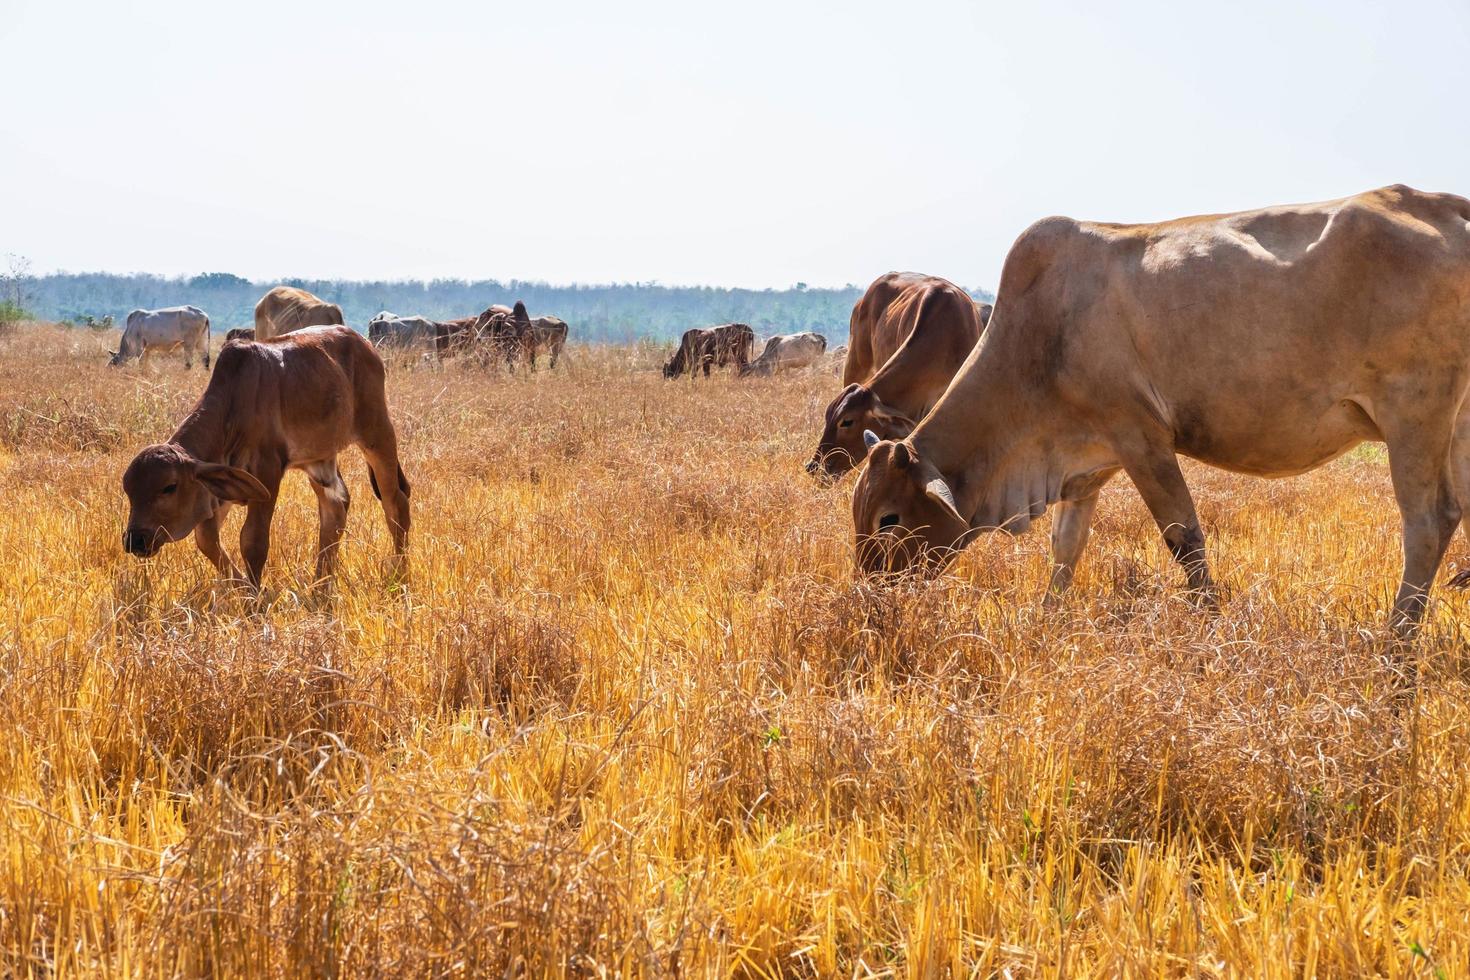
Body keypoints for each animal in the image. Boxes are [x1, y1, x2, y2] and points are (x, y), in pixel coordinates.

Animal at [116, 327, 408, 590]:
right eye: (128, 490)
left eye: (169, 487)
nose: (135, 540)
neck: (233, 406)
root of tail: (363, 343)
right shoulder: (222, 484)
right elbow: (206, 538)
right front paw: (247, 590)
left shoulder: (267, 472)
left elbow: (253, 542)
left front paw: (257, 599)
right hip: (319, 459)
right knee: (336, 508)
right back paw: (321, 587)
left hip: (377, 434)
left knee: (396, 503)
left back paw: (398, 577)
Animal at [852, 185, 1470, 637]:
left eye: (889, 519)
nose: (867, 600)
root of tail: (1445, 205)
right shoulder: (1087, 461)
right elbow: (1066, 546)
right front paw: (1046, 619)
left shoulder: (1140, 436)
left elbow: (1184, 538)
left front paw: (1213, 629)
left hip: (1414, 414)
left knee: (1428, 522)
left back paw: (1395, 645)